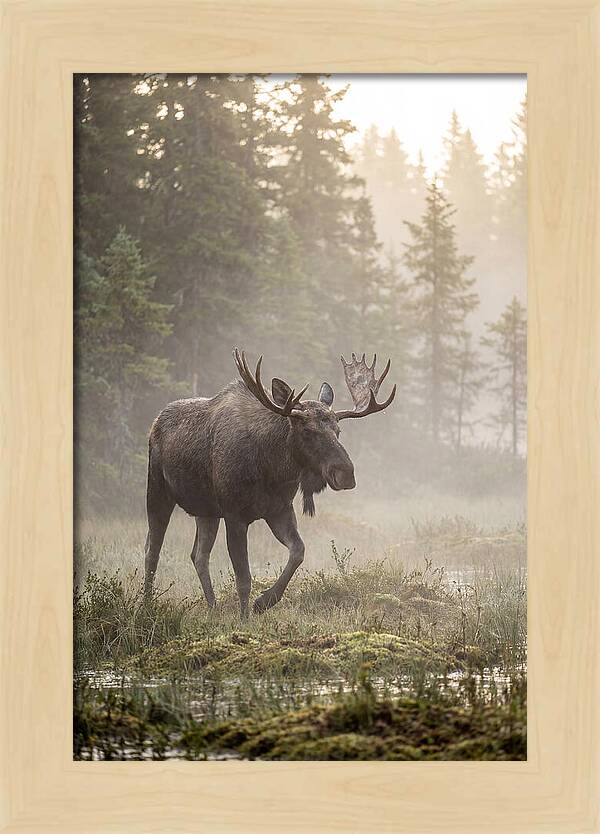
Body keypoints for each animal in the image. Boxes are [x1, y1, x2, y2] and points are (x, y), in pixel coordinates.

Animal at [144, 349, 395, 617]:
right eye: (307, 430)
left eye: (338, 431)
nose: (346, 473)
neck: (272, 469)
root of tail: (155, 423)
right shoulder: (234, 515)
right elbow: (244, 577)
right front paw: (244, 618)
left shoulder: (279, 509)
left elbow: (298, 551)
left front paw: (264, 601)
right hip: (157, 491)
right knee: (152, 550)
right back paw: (147, 604)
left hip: (206, 511)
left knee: (198, 555)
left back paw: (212, 607)